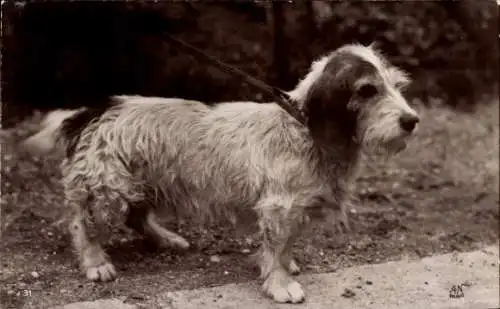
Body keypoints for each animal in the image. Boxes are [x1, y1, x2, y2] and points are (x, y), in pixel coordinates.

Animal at [21, 44, 418, 304]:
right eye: (367, 90)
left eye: (397, 86)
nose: (412, 121)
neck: (304, 131)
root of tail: (90, 112)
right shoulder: (278, 208)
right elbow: (276, 247)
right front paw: (279, 283)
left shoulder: (293, 210)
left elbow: (287, 243)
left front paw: (287, 265)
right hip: (108, 191)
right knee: (82, 225)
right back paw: (95, 263)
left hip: (141, 183)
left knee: (137, 218)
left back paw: (167, 239)